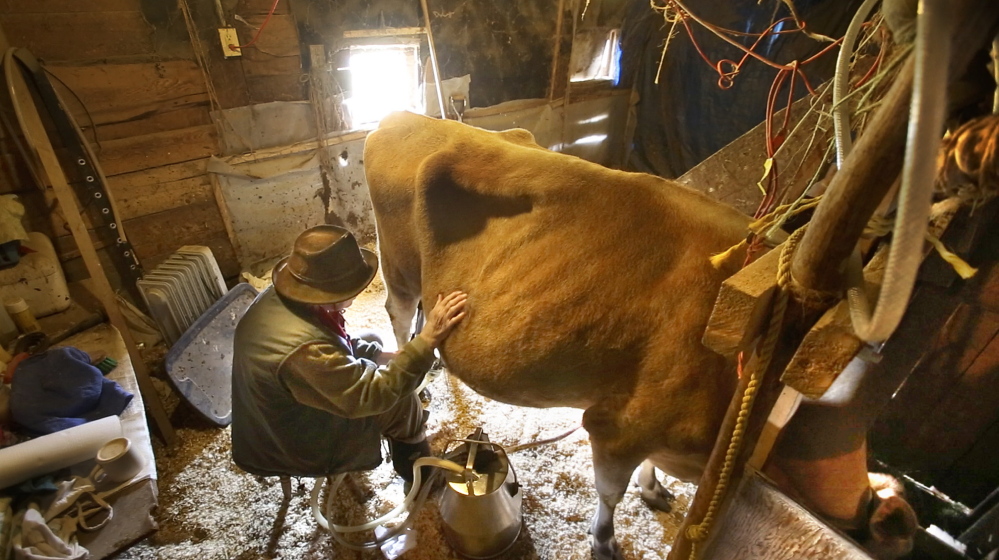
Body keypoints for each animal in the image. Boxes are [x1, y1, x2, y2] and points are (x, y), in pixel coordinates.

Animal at [364, 110, 916, 560]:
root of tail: (399, 117)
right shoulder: (618, 426)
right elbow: (611, 492)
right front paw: (604, 541)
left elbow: (648, 470)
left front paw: (653, 490)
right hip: (398, 266)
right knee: (399, 312)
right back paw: (416, 379)